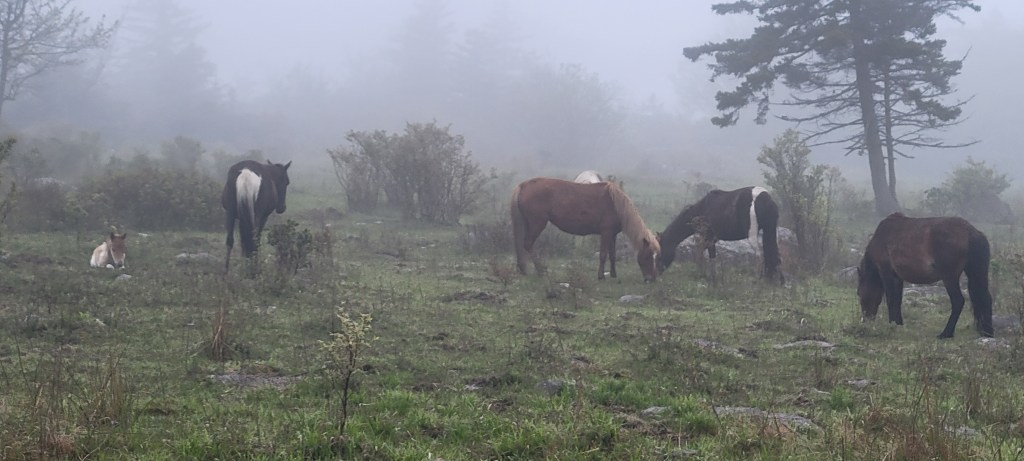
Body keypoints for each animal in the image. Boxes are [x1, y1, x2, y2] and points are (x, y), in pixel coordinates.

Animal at [510, 177, 660, 282]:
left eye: (656, 256)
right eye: (648, 256)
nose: (651, 279)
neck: (616, 204)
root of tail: (522, 186)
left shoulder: (613, 235)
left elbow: (612, 255)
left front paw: (613, 274)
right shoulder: (606, 233)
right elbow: (603, 255)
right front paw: (601, 276)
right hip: (537, 224)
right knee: (527, 244)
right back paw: (541, 271)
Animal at [858, 213, 993, 338]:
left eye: (859, 293)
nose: (866, 321)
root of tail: (971, 232)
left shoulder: (886, 273)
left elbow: (891, 299)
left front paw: (892, 324)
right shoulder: (898, 278)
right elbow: (897, 300)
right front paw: (898, 324)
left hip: (949, 277)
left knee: (958, 301)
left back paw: (945, 333)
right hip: (976, 274)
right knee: (985, 299)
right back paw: (987, 332)